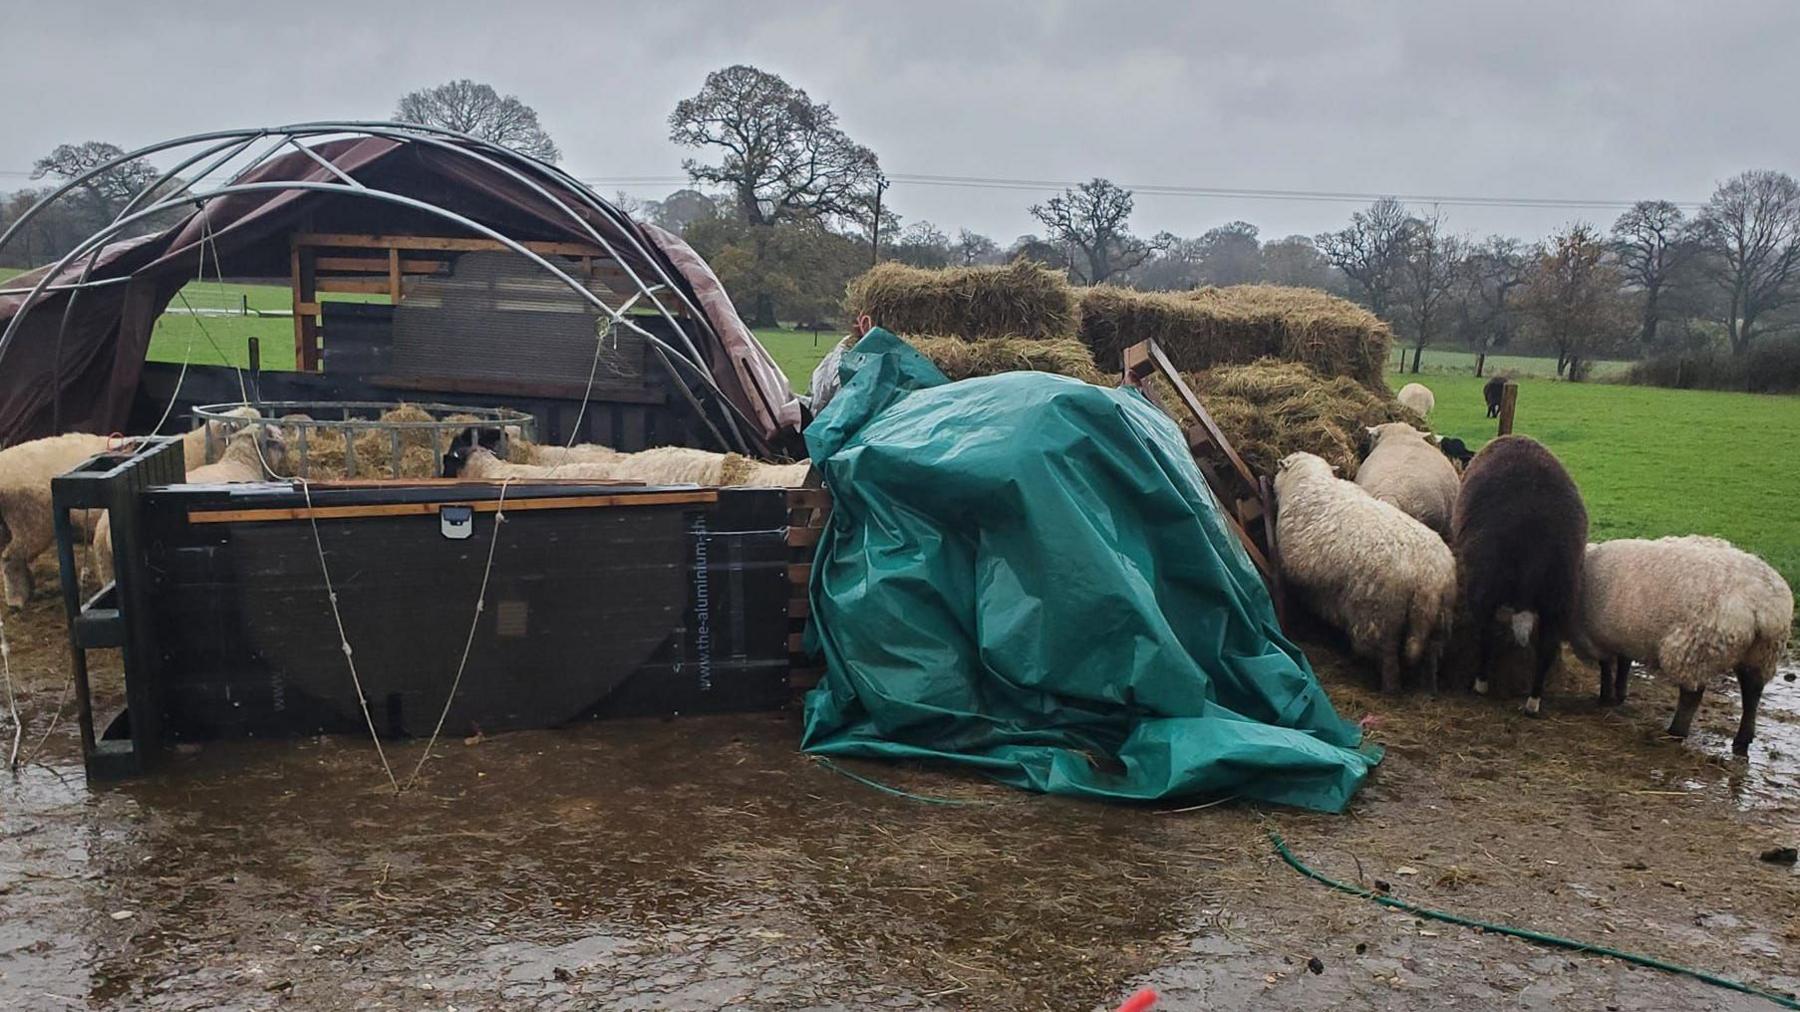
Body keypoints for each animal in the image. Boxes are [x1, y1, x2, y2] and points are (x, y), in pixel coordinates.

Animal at [1274, 453, 1454, 687]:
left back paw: (1389, 687)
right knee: (1432, 654)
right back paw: (1429, 687)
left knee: (1388, 657)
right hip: (1439, 620)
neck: (1310, 479)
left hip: (1379, 616)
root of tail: (1429, 578)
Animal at [1454, 433, 1584, 709]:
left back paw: (1481, 684)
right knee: (1547, 648)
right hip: (1560, 595)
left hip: (1484, 583)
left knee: (1486, 633)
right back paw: (1533, 702)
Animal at [1576, 533, 1785, 752]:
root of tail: (1764, 605)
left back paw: (1676, 732)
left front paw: (1605, 697)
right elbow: (1623, 664)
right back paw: (1743, 738)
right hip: (1761, 653)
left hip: (1695, 648)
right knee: (1752, 693)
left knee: (1692, 695)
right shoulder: (1623, 636)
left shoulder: (1596, 638)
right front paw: (1619, 694)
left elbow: (1606, 667)